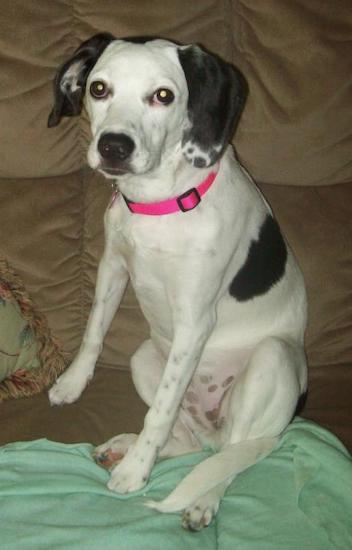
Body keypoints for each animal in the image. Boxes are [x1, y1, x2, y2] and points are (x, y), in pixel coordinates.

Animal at [47, 33, 308, 532]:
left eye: (163, 96)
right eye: (99, 89)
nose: (113, 147)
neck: (158, 203)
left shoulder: (194, 320)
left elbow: (160, 413)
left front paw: (134, 473)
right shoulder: (112, 267)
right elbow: (93, 333)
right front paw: (72, 383)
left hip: (270, 360)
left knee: (231, 456)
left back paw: (200, 498)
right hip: (144, 358)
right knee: (196, 445)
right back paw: (125, 446)